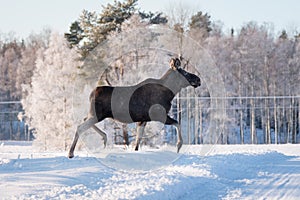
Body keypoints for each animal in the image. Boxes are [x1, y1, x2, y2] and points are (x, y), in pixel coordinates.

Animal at [67, 56, 199, 158]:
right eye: (185, 72)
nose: (198, 79)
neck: (170, 92)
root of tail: (91, 94)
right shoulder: (159, 115)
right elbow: (177, 123)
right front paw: (179, 145)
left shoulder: (143, 120)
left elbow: (137, 142)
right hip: (97, 115)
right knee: (80, 127)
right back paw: (71, 153)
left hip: (95, 114)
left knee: (83, 120)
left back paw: (104, 138)